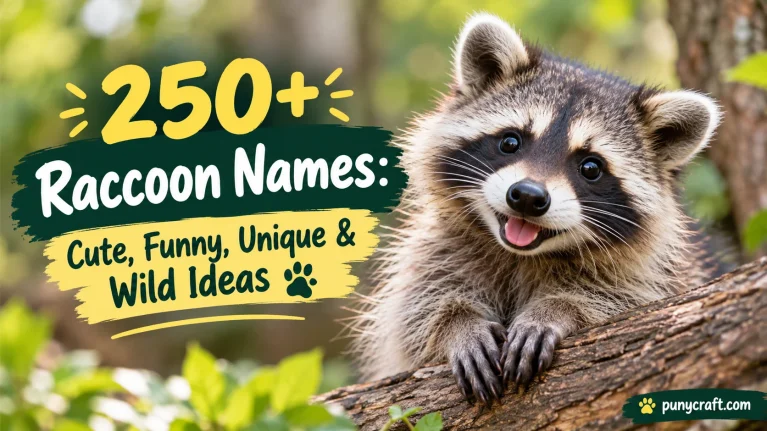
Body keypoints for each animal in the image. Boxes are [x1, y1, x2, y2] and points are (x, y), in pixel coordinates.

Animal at [350, 14, 721, 405]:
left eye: (591, 167)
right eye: (510, 142)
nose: (527, 196)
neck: (521, 256)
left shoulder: (658, 274)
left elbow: (626, 302)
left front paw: (557, 309)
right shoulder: (440, 247)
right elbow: (416, 311)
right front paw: (458, 322)